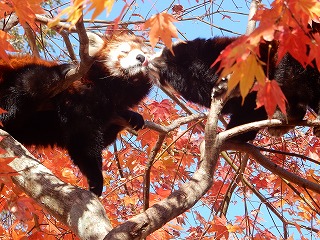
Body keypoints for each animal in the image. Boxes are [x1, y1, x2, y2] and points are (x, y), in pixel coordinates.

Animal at [0, 32, 152, 197]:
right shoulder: (78, 97)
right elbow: (82, 139)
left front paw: (132, 116)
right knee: (29, 83)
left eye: (146, 53)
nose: (141, 57)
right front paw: (95, 177)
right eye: (124, 51)